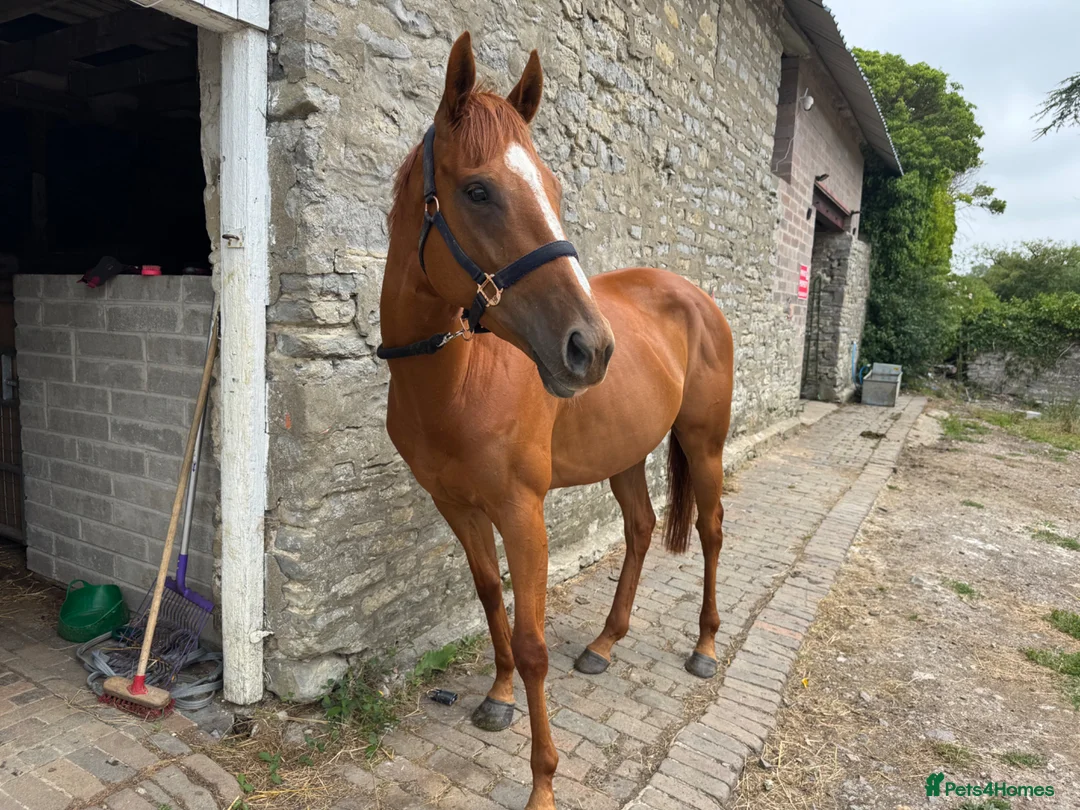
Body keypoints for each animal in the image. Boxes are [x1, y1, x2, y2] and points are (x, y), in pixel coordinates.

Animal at [378, 32, 734, 810]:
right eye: (478, 190)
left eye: (554, 188)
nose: (590, 348)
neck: (457, 379)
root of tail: (695, 296)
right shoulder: (457, 506)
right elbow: (490, 600)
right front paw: (498, 695)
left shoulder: (523, 513)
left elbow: (533, 639)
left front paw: (542, 782)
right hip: (626, 451)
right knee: (639, 529)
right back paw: (605, 642)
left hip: (704, 444)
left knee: (713, 534)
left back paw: (704, 647)